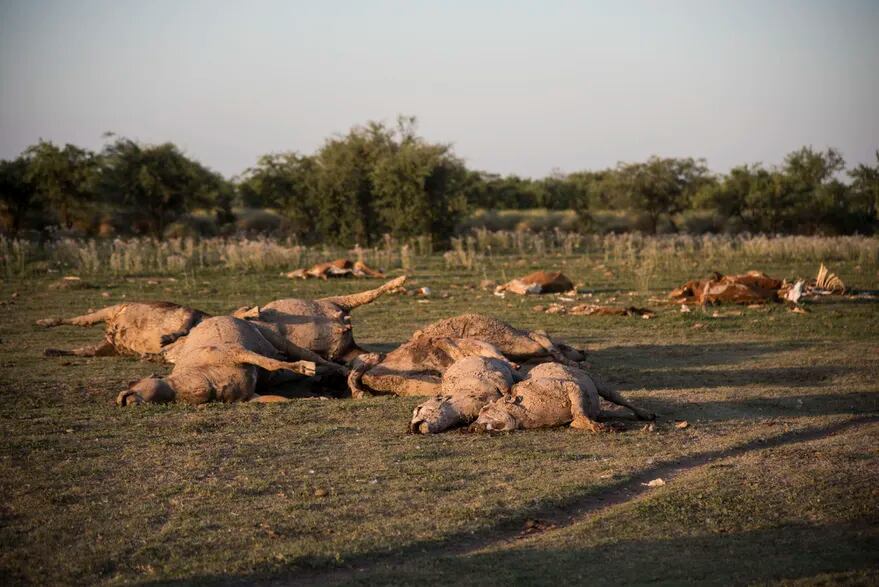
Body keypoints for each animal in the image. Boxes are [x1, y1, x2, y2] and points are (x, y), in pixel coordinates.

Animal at [37, 306, 209, 360]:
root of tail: (110, 332)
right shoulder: (191, 313)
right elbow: (184, 328)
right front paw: (165, 339)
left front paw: (148, 356)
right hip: (112, 309)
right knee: (81, 320)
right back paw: (44, 322)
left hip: (109, 347)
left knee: (85, 350)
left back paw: (51, 351)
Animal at [118, 320, 320, 406]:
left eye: (134, 385)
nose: (122, 399)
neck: (208, 378)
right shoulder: (249, 397)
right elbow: (276, 399)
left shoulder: (237, 352)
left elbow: (271, 363)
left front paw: (305, 368)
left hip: (275, 339)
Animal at [474, 362, 652, 432]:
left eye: (486, 410)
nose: (472, 427)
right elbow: (577, 420)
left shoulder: (571, 387)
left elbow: (579, 412)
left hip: (596, 382)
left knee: (616, 397)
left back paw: (645, 414)